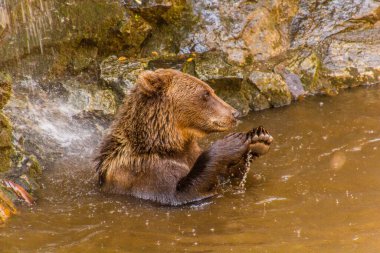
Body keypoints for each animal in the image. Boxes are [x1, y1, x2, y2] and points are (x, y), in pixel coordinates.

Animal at [95, 68, 274, 205]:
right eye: (205, 94)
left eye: (212, 90)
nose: (234, 114)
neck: (167, 144)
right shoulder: (144, 170)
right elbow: (181, 193)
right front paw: (230, 143)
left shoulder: (190, 153)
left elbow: (225, 176)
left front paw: (259, 140)